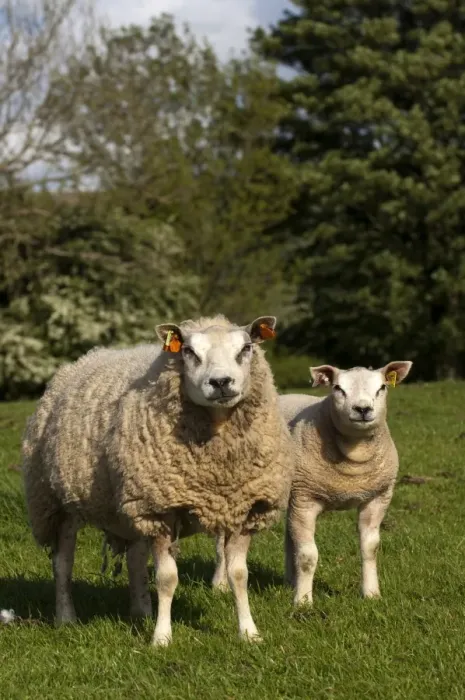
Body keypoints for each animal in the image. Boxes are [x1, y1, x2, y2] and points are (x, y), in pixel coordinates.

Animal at [22, 314, 294, 645]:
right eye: (188, 351)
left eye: (246, 348)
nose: (220, 382)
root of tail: (81, 361)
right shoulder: (161, 509)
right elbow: (166, 578)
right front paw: (162, 638)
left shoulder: (246, 507)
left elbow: (239, 575)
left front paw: (249, 633)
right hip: (56, 501)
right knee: (62, 564)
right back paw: (66, 618)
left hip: (131, 504)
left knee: (135, 558)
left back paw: (141, 612)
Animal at [280, 361, 412, 606]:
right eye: (338, 388)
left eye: (382, 387)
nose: (362, 409)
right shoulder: (305, 499)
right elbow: (307, 555)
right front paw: (303, 603)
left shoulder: (377, 498)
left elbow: (370, 548)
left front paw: (371, 594)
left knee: (289, 538)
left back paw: (290, 581)